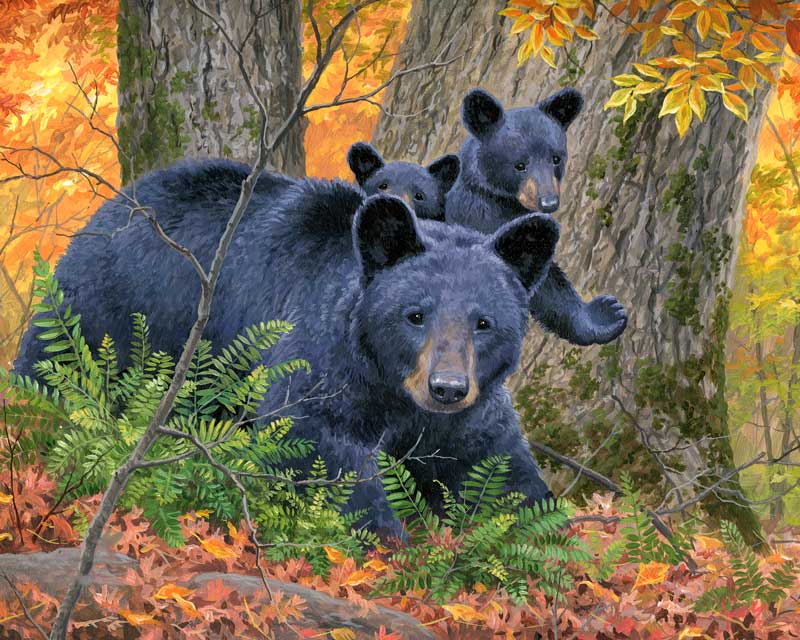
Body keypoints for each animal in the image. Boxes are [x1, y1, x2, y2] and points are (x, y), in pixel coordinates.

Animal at [15, 159, 560, 533]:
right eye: (415, 314)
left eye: (484, 323)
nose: (446, 386)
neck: (395, 392)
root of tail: (117, 200)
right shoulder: (328, 366)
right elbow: (315, 442)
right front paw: (387, 539)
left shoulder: (471, 413)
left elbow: (498, 464)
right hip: (110, 308)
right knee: (53, 368)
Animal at [446, 87, 628, 346]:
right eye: (519, 165)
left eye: (556, 158)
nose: (548, 201)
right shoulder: (482, 218)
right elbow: (543, 284)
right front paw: (606, 315)